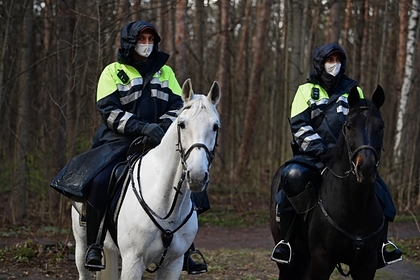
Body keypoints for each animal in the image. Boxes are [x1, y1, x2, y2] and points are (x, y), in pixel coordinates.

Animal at [71, 79, 223, 280]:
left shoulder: (172, 265)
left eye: (215, 126)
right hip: (81, 247)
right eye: (182, 124)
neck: (166, 205)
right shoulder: (133, 263)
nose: (197, 176)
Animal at [270, 85, 386, 280]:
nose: (366, 168)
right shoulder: (322, 260)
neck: (354, 208)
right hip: (289, 262)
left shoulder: (367, 264)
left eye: (381, 126)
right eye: (349, 126)